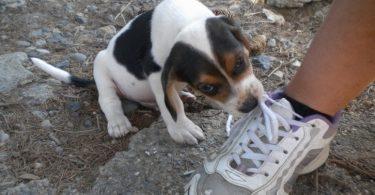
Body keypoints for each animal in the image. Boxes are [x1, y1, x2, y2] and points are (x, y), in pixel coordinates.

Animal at [31, 0, 264, 144]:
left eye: (240, 62)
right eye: (207, 87)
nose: (251, 104)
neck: (185, 22)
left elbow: (170, 101)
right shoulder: (156, 74)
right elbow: (171, 105)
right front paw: (181, 129)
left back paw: (182, 95)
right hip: (101, 65)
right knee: (109, 100)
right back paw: (118, 122)